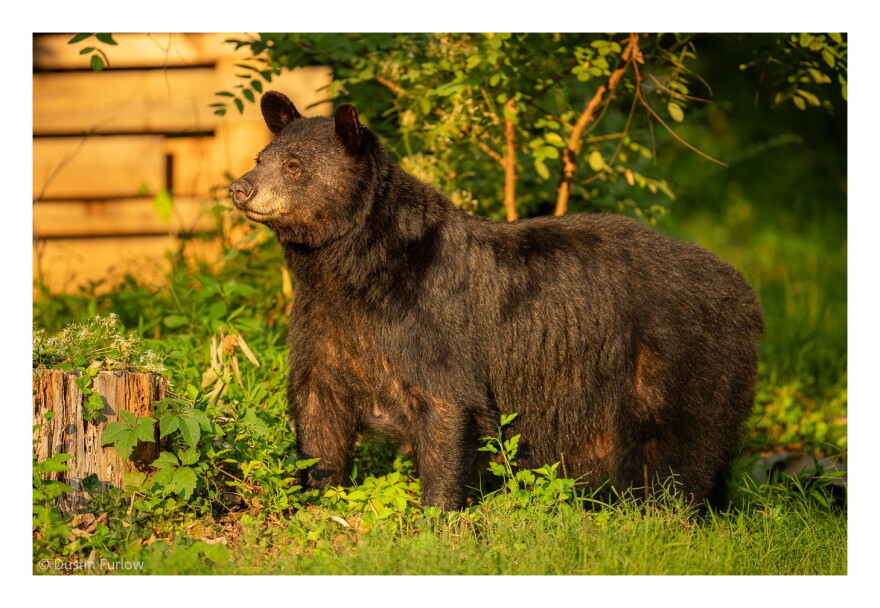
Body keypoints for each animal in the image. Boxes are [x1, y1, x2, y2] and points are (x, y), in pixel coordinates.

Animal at [229, 90, 764, 511]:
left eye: (295, 166)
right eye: (261, 157)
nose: (240, 188)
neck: (354, 272)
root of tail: (746, 292)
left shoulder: (428, 319)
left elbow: (446, 407)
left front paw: (436, 515)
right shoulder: (325, 322)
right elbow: (319, 410)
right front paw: (317, 496)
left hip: (680, 365)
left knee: (680, 457)